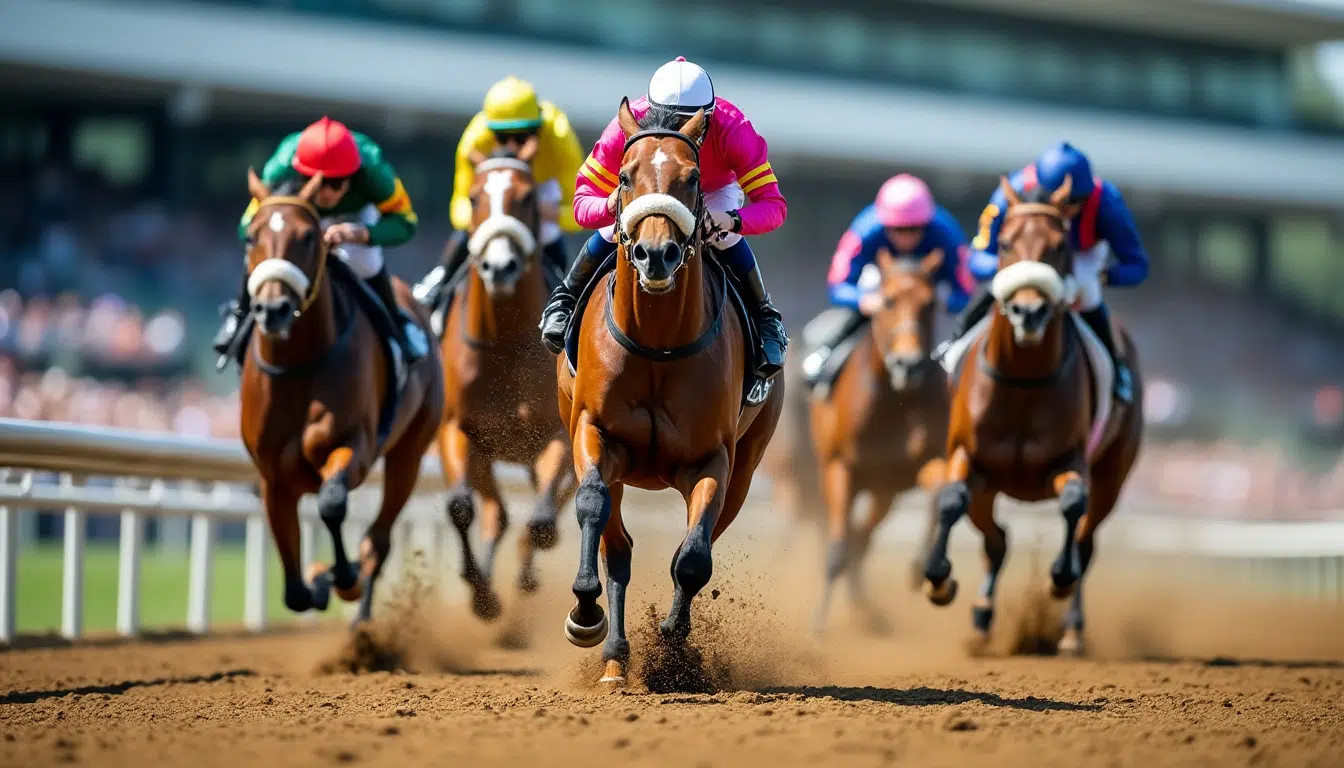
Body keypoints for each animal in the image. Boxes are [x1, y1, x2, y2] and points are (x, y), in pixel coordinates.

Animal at [238, 170, 444, 625]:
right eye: (252, 236)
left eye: (308, 236)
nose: (273, 310)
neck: (298, 366)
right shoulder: (272, 477)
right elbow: (294, 593)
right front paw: (317, 580)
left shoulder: (355, 446)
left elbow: (332, 504)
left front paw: (342, 577)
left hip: (410, 450)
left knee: (379, 537)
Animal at [435, 139, 574, 620]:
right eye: (475, 196)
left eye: (527, 197)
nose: (500, 267)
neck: (506, 341)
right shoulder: (460, 431)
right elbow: (461, 508)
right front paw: (482, 596)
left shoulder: (557, 434)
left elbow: (544, 522)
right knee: (496, 514)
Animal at [555, 99, 785, 686]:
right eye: (625, 175)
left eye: (692, 177)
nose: (654, 254)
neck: (658, 345)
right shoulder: (594, 433)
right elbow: (592, 506)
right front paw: (584, 614)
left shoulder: (713, 460)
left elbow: (693, 557)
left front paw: (674, 645)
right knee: (618, 545)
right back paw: (614, 655)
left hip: (748, 466)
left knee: (699, 542)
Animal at [809, 247, 948, 634]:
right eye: (887, 301)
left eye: (930, 304)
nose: (908, 365)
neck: (892, 401)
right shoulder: (840, 468)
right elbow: (838, 547)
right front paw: (817, 626)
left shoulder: (915, 467)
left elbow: (939, 497)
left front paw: (924, 569)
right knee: (849, 538)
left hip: (883, 492)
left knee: (863, 537)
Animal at [921, 177, 1143, 655]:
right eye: (1004, 242)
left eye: (1060, 246)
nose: (1029, 311)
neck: (1023, 381)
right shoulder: (969, 457)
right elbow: (952, 501)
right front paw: (938, 581)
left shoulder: (1072, 461)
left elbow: (1073, 504)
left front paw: (1060, 579)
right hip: (992, 486)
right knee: (997, 541)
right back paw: (982, 617)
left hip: (1114, 475)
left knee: (1086, 539)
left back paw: (1072, 628)